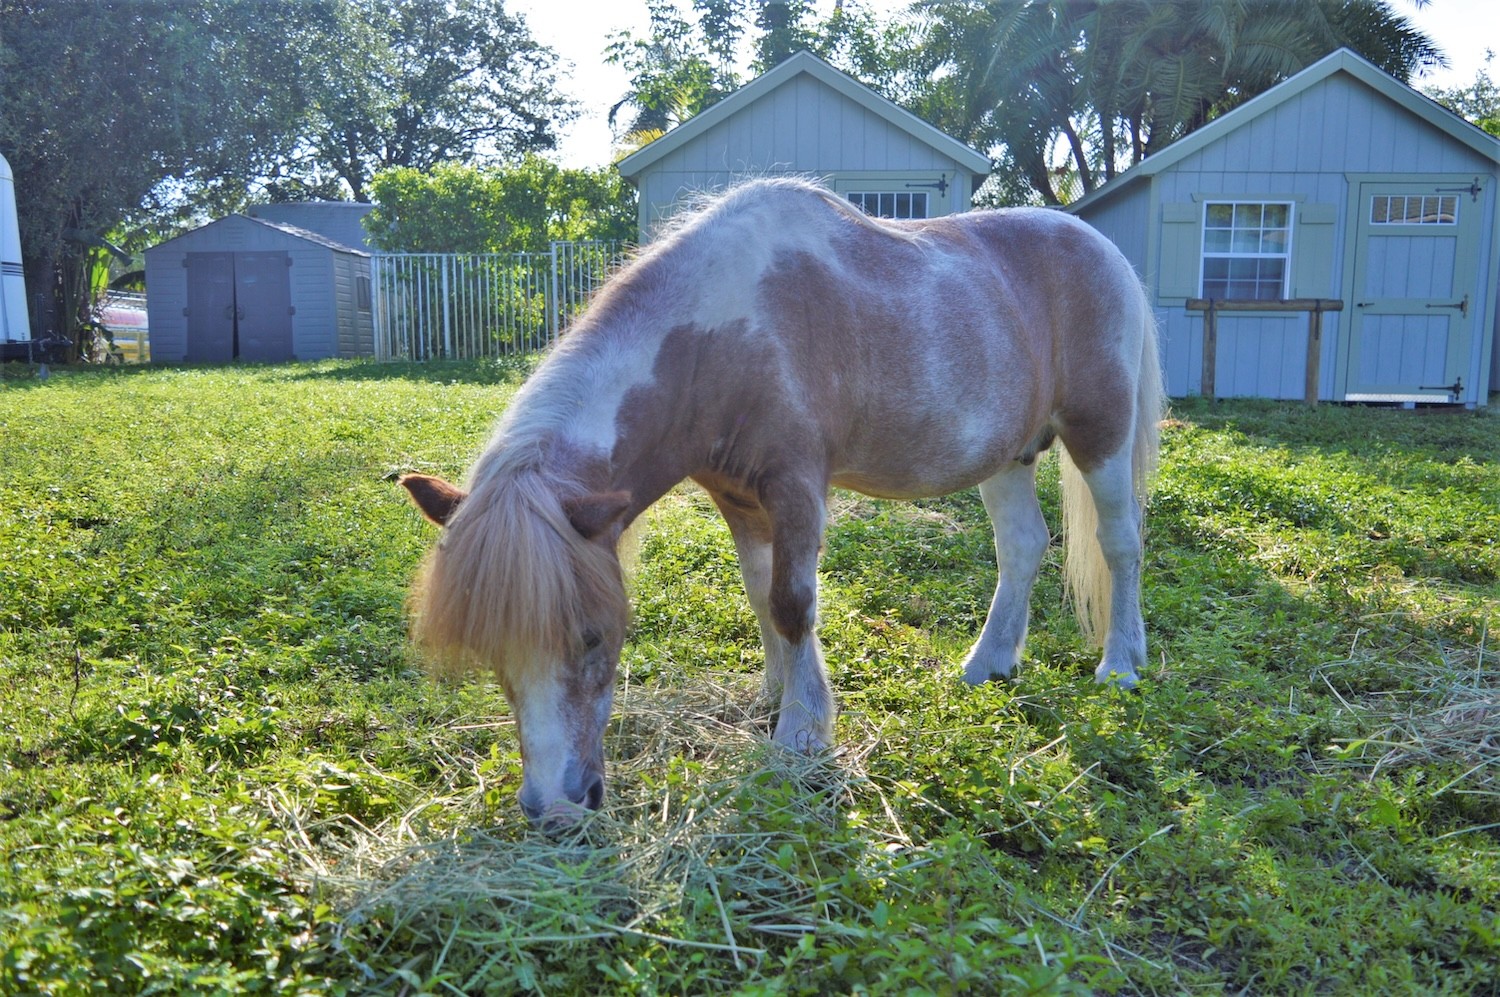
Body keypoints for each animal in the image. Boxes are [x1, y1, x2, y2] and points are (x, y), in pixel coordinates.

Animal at [396, 174, 1158, 821]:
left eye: (593, 636)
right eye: (493, 652)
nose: (555, 807)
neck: (724, 335)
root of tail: (1107, 252)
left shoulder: (795, 486)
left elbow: (794, 603)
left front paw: (803, 730)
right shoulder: (739, 499)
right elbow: (762, 596)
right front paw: (775, 693)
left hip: (1100, 434)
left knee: (1120, 543)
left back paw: (1120, 665)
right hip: (1008, 454)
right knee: (1022, 547)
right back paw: (986, 664)